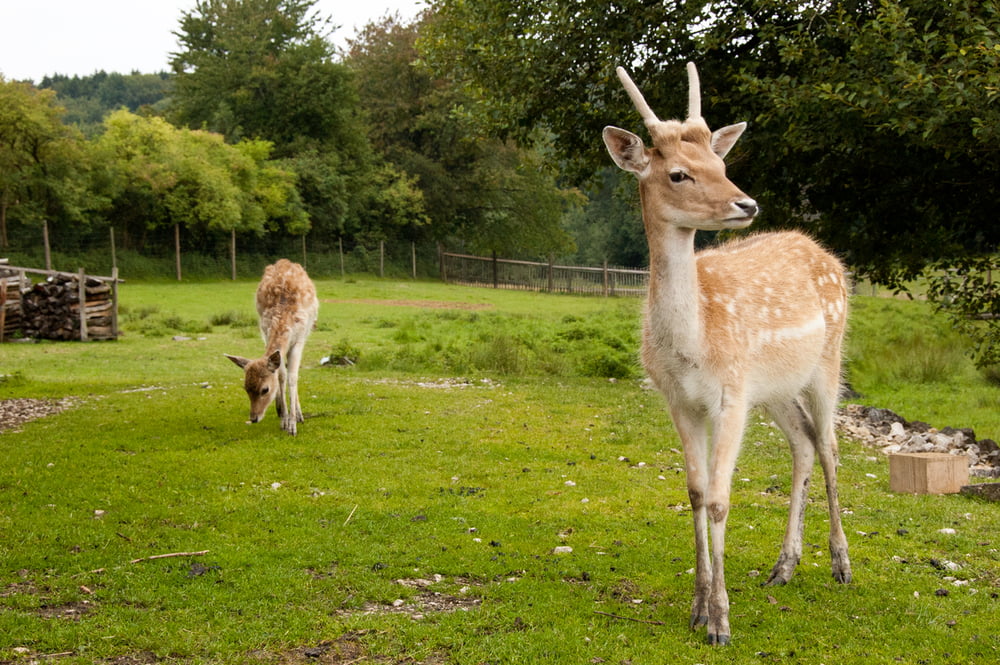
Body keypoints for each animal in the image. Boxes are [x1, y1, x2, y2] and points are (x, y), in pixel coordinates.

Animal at [226, 260, 316, 436]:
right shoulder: (266, 333)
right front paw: (284, 420)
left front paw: (292, 425)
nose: (254, 418)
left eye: (265, 389)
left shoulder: (299, 340)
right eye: (245, 388)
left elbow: (292, 377)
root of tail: (285, 261)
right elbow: (281, 375)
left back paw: (299, 415)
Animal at [600, 63, 852, 644]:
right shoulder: (679, 400)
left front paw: (719, 621)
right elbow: (695, 492)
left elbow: (719, 498)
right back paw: (784, 566)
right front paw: (696, 609)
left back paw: (841, 563)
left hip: (829, 361)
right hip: (776, 388)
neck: (694, 347)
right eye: (678, 174)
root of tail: (824, 254)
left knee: (830, 446)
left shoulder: (731, 394)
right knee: (804, 442)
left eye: (720, 163)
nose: (747, 204)